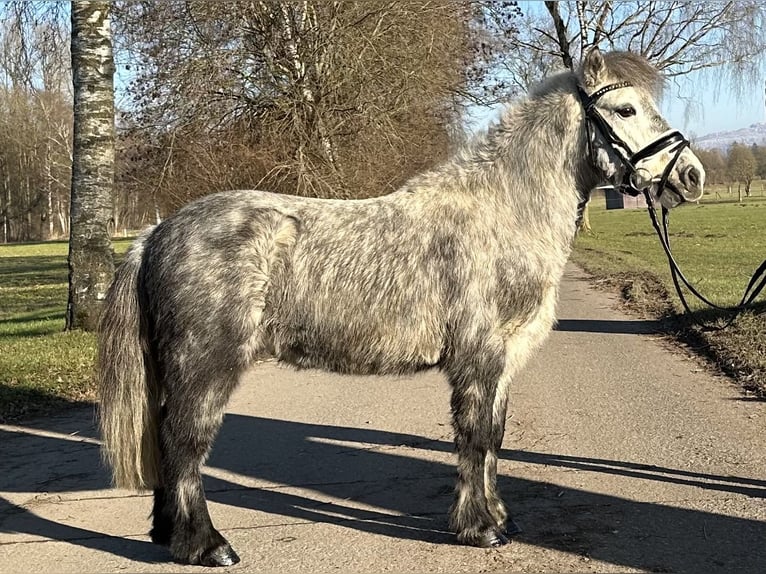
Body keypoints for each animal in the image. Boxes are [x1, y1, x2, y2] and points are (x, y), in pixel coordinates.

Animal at [99, 48, 704, 568]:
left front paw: (499, 518)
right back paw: (206, 545)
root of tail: (156, 233)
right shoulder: (479, 357)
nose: (691, 175)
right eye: (625, 109)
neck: (503, 214)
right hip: (205, 367)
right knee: (184, 444)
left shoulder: (504, 361)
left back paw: (166, 535)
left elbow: (494, 437)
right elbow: (474, 437)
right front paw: (479, 529)